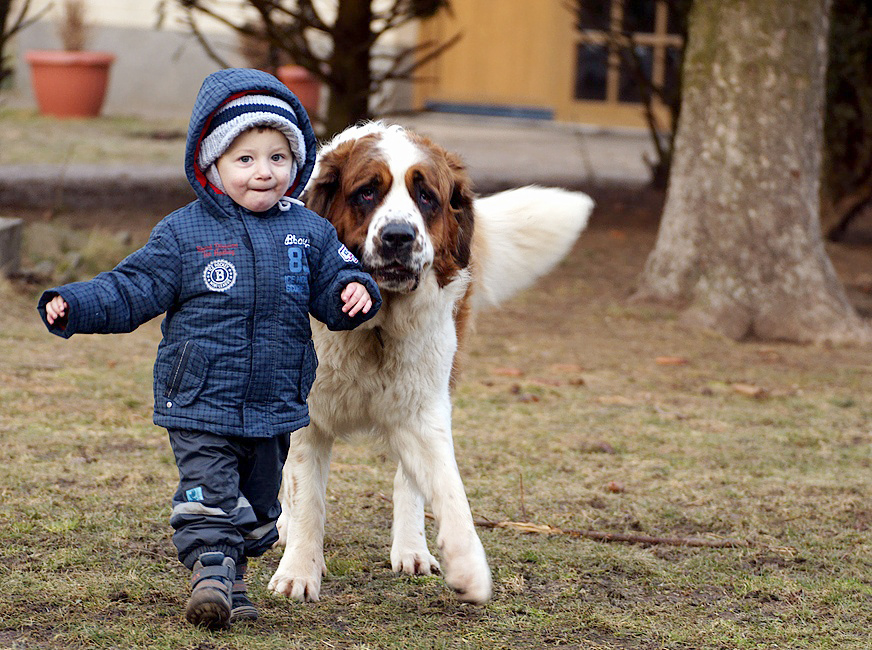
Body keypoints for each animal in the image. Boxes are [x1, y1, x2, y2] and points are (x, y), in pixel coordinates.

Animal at [268, 120, 592, 604]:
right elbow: (307, 495)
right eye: (367, 192)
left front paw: (468, 564)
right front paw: (299, 571)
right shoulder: (304, 413)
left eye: (426, 197)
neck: (374, 325)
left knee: (408, 481)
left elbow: (448, 487)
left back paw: (411, 549)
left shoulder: (424, 408)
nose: (399, 236)